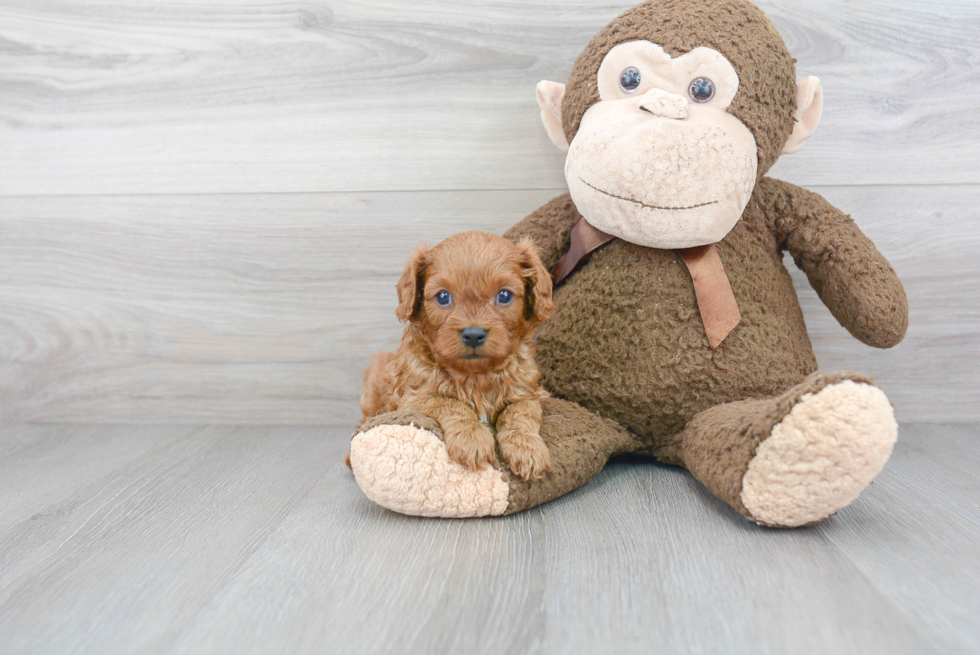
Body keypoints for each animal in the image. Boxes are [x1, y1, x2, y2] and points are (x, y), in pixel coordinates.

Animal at [354, 231, 556, 482]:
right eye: (443, 297)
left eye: (504, 295)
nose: (473, 335)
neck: (476, 375)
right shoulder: (412, 399)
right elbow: (451, 404)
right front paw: (472, 439)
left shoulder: (528, 393)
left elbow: (519, 413)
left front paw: (528, 448)